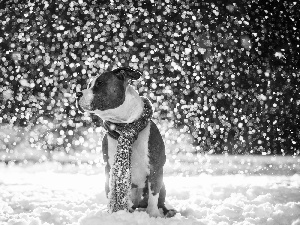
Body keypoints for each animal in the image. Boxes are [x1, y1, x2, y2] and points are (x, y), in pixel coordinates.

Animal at [75, 67, 176, 218]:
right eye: (88, 85)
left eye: (99, 83)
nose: (77, 93)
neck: (125, 125)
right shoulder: (109, 168)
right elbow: (112, 191)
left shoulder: (155, 168)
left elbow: (153, 196)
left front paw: (153, 215)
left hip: (161, 185)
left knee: (159, 200)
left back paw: (166, 211)